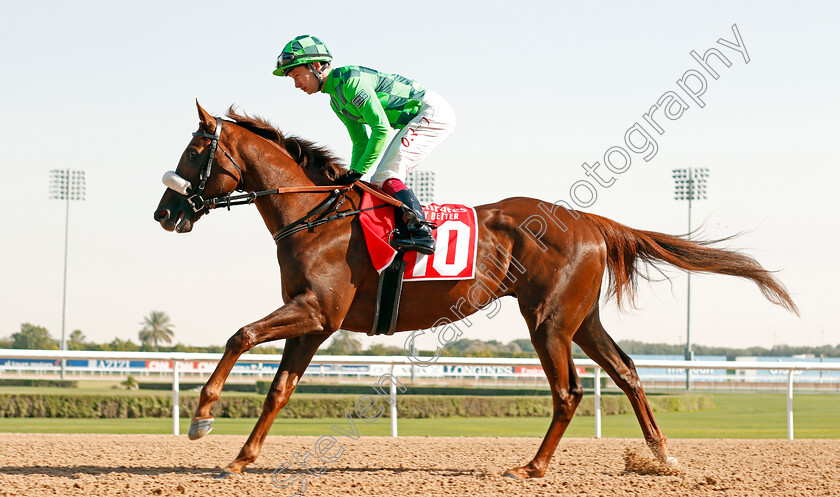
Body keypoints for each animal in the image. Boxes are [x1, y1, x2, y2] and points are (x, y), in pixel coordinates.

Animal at [154, 102, 796, 478]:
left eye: (193, 151)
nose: (165, 212)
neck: (316, 216)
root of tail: (591, 222)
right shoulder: (315, 322)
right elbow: (278, 390)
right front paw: (241, 459)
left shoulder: (314, 310)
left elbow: (240, 335)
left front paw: (203, 417)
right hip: (581, 318)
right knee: (628, 373)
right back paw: (661, 456)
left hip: (549, 321)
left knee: (569, 392)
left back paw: (533, 468)